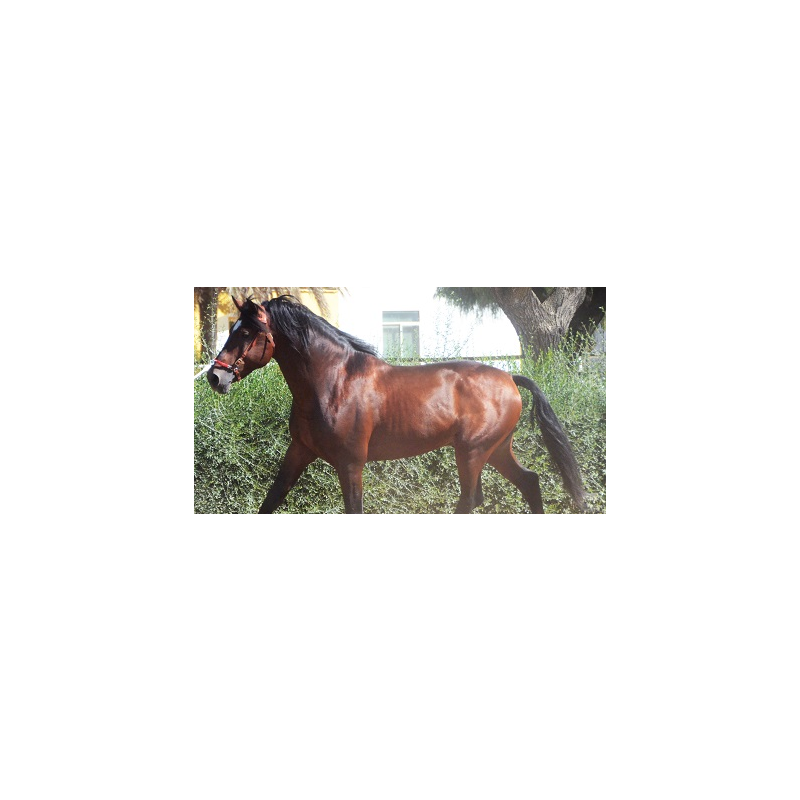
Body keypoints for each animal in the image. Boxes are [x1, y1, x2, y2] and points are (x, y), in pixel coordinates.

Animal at [206, 295, 587, 514]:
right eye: (233, 328)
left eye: (245, 333)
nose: (214, 376)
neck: (333, 381)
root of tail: (509, 378)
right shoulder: (299, 451)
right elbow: (270, 501)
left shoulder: (350, 464)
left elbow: (354, 510)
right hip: (495, 450)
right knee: (530, 483)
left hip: (473, 452)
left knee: (470, 501)